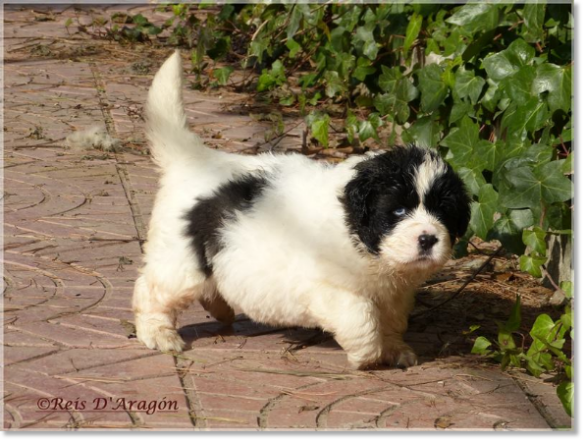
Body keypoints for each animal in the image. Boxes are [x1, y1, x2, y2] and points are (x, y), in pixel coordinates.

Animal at [133, 51, 470, 370]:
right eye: (398, 211)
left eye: (444, 213)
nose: (428, 239)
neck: (352, 225)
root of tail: (193, 158)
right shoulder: (328, 288)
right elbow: (361, 318)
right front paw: (367, 356)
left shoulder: (393, 295)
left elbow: (390, 321)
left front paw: (395, 350)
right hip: (181, 259)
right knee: (151, 291)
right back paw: (159, 333)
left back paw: (220, 308)